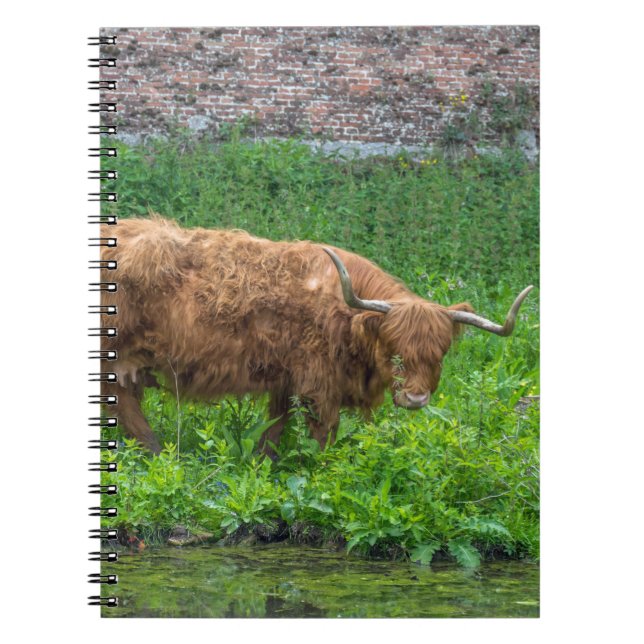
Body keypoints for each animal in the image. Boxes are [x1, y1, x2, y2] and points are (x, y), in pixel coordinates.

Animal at [100, 216, 533, 456]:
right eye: (395, 351)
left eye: (439, 352)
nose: (415, 399)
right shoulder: (318, 381)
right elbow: (324, 434)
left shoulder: (285, 378)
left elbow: (274, 430)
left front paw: (261, 464)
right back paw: (160, 453)